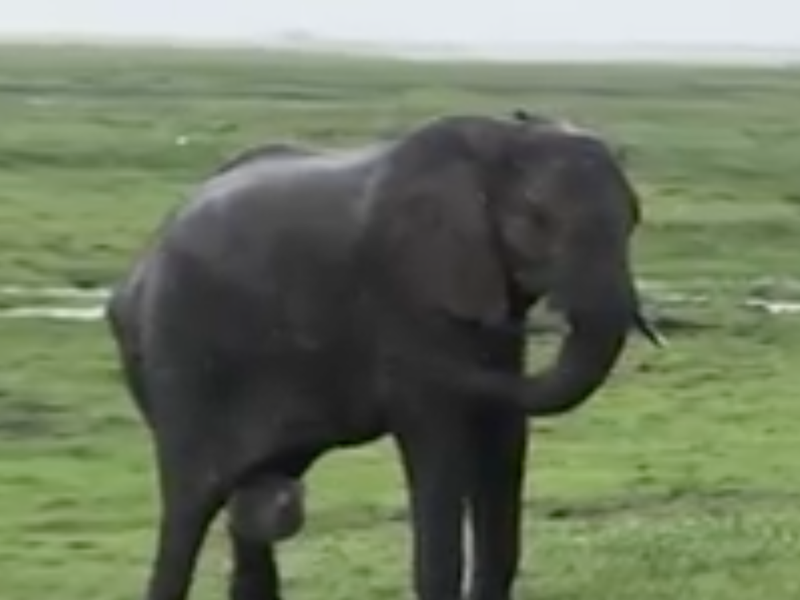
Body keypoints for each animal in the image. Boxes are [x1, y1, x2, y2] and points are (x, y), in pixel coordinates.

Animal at [105, 109, 661, 600]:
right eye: (538, 218)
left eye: (635, 217)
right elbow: (436, 433)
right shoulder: (412, 289)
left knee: (250, 512)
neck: (501, 138)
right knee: (190, 508)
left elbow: (504, 437)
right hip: (176, 362)